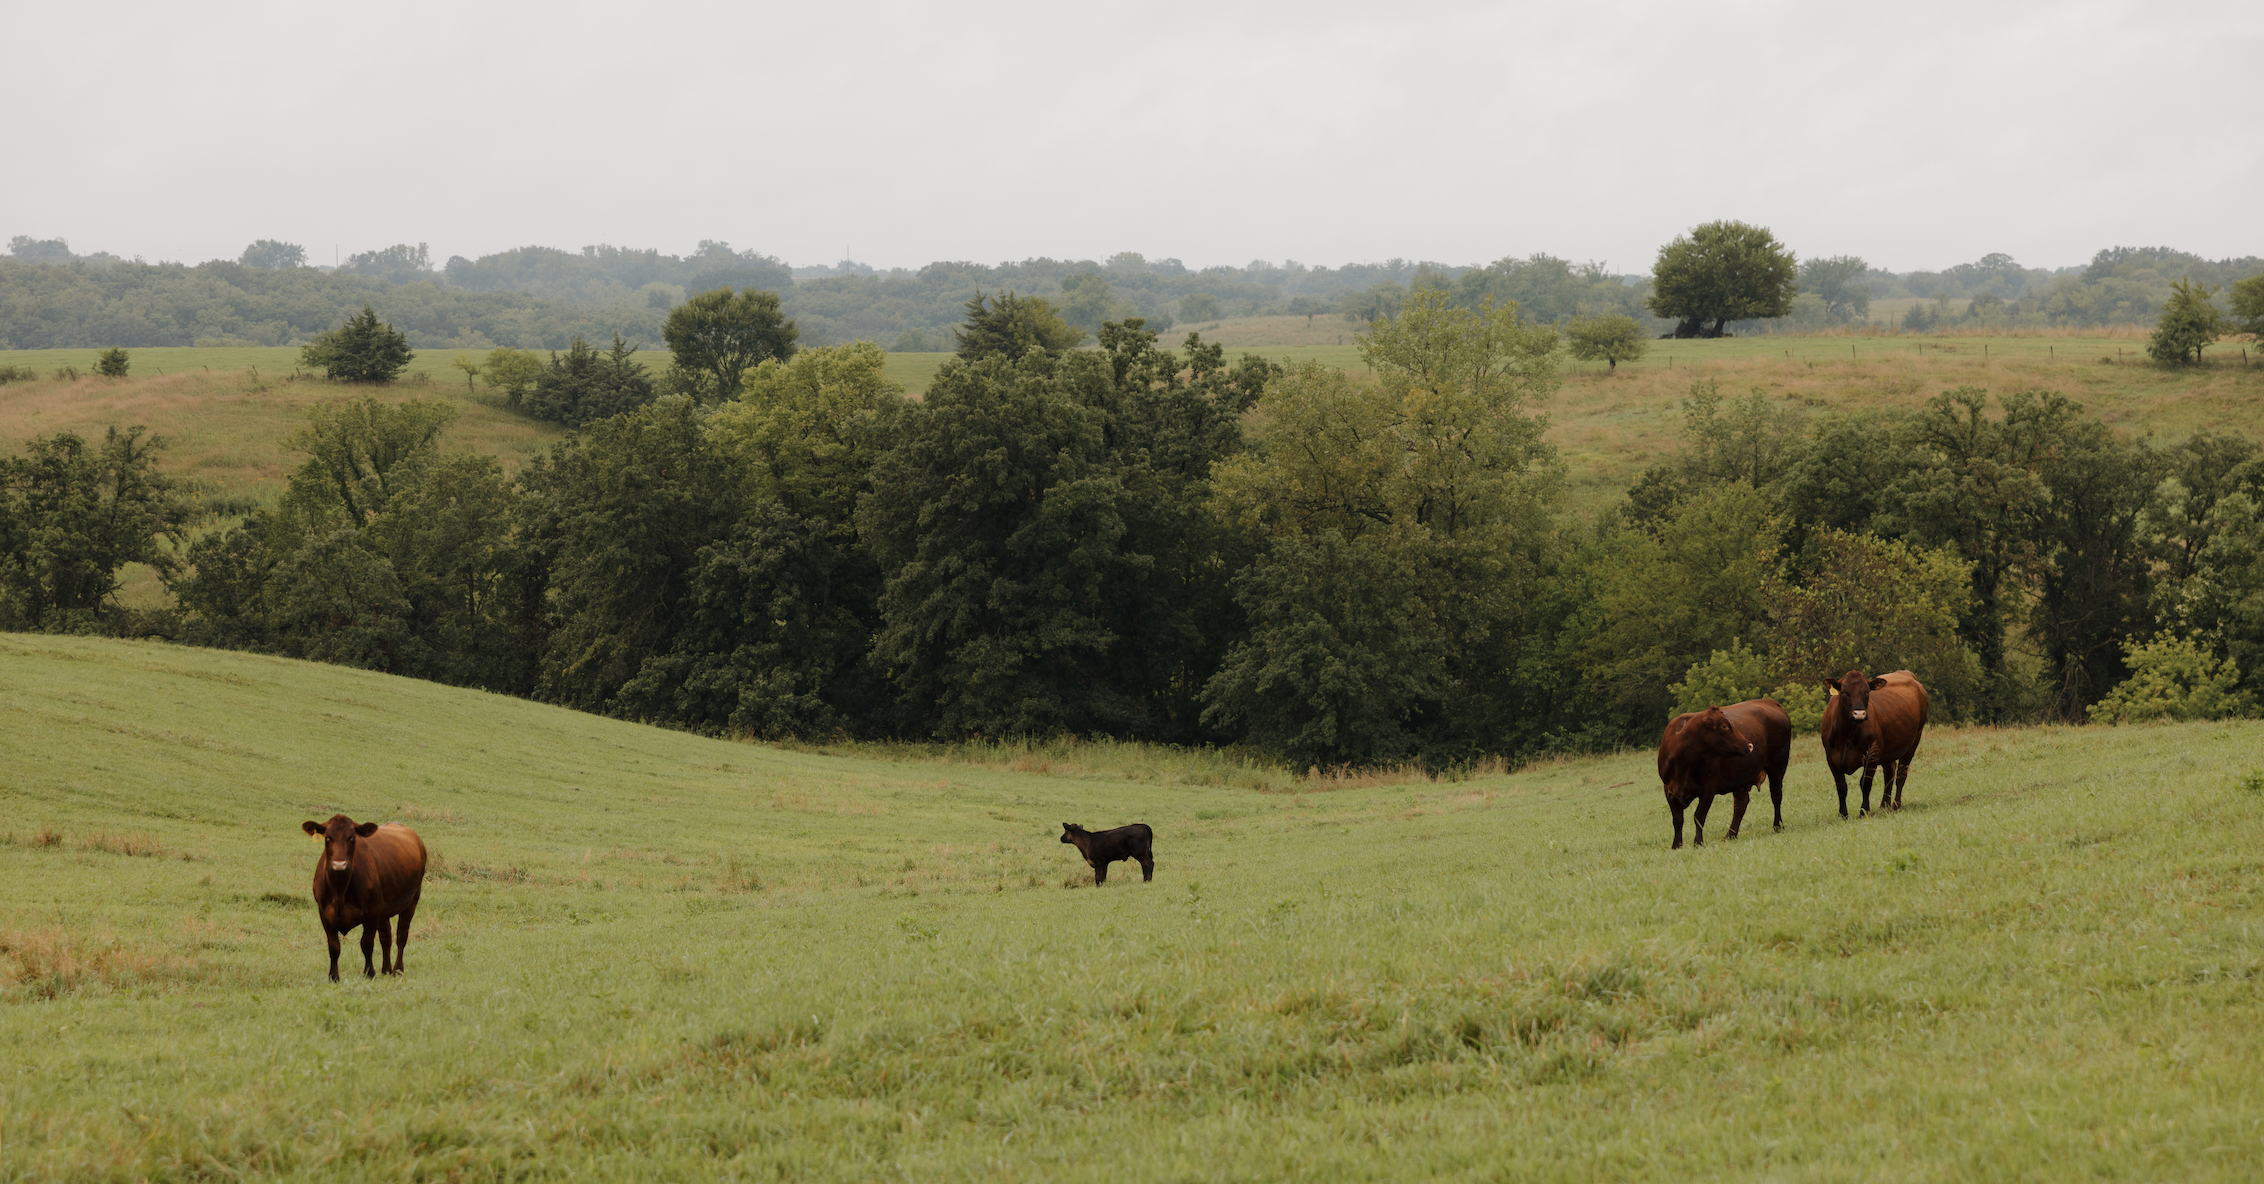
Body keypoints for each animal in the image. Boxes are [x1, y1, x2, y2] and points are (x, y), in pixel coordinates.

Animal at [301, 814, 427, 981]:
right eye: (327, 837)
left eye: (352, 837)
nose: (339, 864)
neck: (340, 890)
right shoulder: (324, 913)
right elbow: (334, 946)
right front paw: (333, 976)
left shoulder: (371, 912)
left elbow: (366, 943)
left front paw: (369, 973)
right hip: (383, 910)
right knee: (386, 937)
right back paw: (386, 969)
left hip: (412, 900)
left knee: (401, 935)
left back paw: (397, 969)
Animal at [1656, 699, 1792, 849]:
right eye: (1724, 726)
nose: (1749, 745)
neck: (1682, 767)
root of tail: (1769, 702)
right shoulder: (1669, 790)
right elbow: (1678, 819)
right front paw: (1676, 845)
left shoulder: (1709, 789)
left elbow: (1699, 816)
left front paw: (1698, 842)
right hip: (1741, 777)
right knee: (1741, 804)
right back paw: (1731, 835)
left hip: (1778, 766)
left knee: (1776, 796)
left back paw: (1777, 826)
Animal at [1820, 669, 1930, 817]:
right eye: (1844, 692)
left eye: (1867, 691)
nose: (1859, 714)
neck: (1847, 734)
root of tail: (1906, 672)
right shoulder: (1831, 758)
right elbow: (1841, 786)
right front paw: (1843, 814)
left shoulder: (1872, 753)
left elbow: (1865, 783)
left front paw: (1864, 811)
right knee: (1889, 772)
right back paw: (1885, 805)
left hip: (1914, 741)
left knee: (1901, 775)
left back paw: (1896, 805)